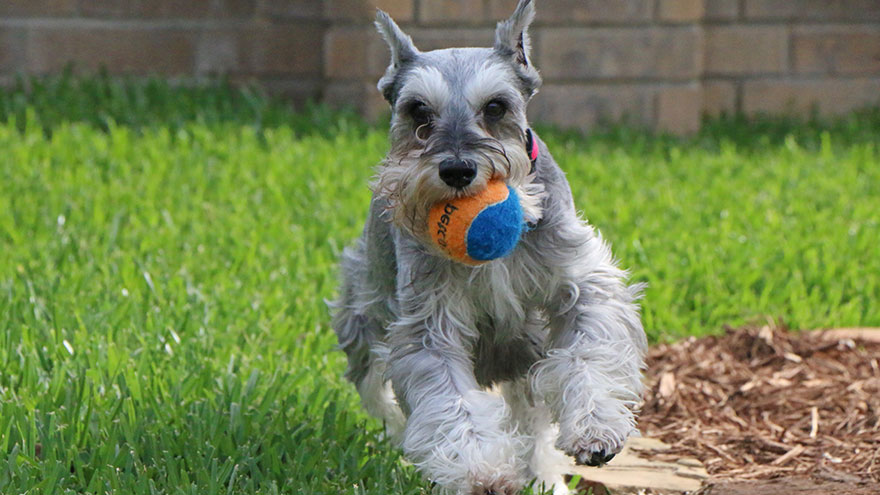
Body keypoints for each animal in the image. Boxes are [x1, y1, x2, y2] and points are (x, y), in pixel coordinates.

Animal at [330, 1, 648, 494]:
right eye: (418, 111)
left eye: (496, 107)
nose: (458, 170)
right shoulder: (429, 325)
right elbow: (450, 400)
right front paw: (480, 470)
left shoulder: (582, 284)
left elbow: (589, 351)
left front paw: (596, 428)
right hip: (364, 315)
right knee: (379, 393)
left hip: (523, 353)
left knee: (530, 422)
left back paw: (544, 476)